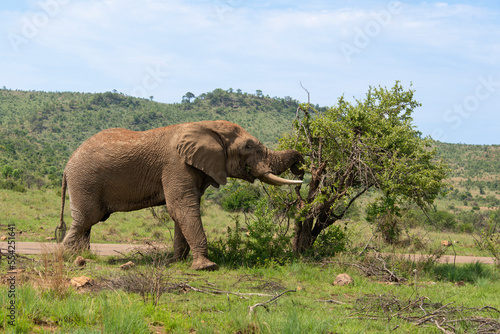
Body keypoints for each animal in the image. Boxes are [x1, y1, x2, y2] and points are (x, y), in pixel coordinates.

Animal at [56, 121, 302, 270]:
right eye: (249, 146)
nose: (300, 167)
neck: (207, 126)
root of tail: (66, 166)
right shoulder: (176, 164)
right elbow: (182, 208)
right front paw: (206, 267)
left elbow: (180, 212)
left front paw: (175, 262)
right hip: (85, 181)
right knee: (86, 219)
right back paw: (67, 257)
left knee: (87, 223)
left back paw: (81, 256)